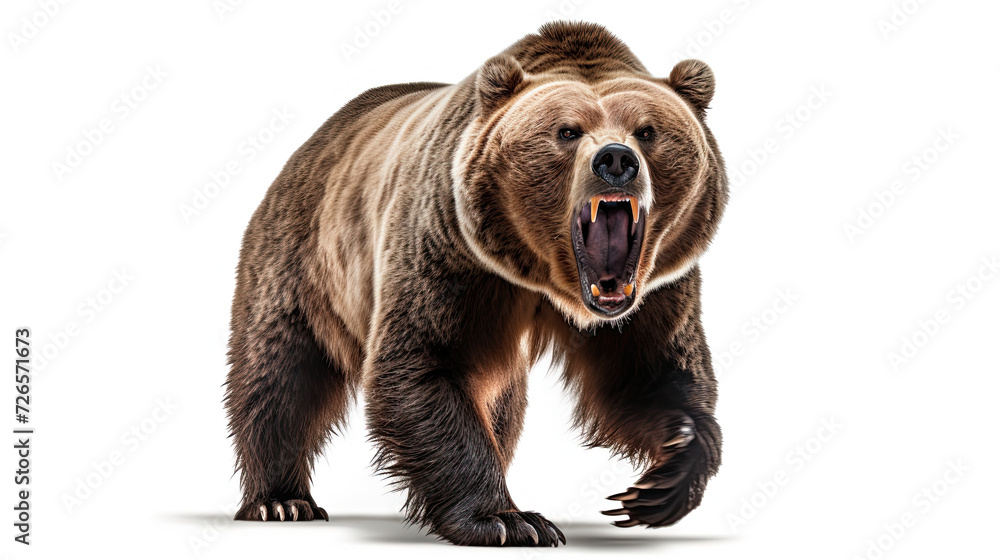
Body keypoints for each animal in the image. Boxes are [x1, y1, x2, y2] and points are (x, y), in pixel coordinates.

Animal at [224, 21, 728, 547]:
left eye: (648, 131)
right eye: (567, 131)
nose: (615, 159)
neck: (546, 278)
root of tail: (315, 140)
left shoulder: (654, 288)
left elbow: (646, 370)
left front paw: (665, 475)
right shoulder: (451, 251)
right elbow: (426, 362)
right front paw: (508, 519)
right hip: (303, 258)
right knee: (280, 372)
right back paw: (282, 500)